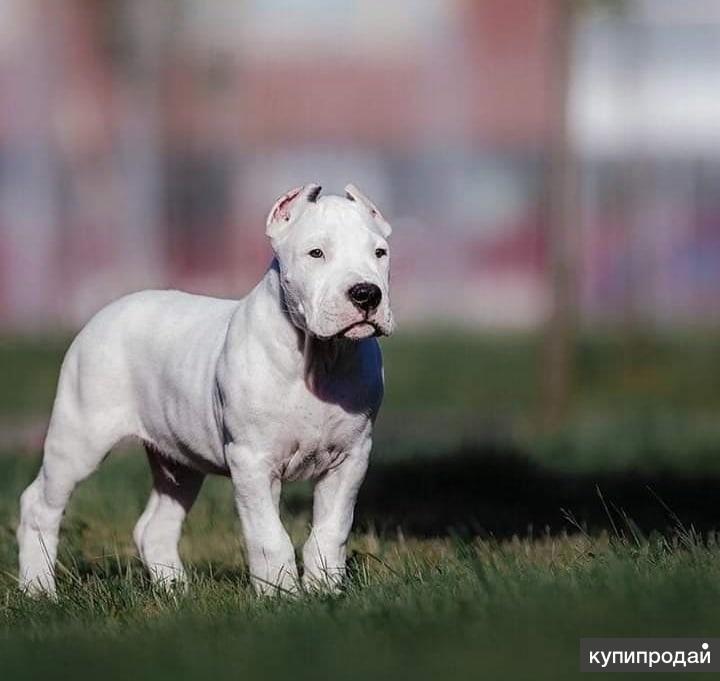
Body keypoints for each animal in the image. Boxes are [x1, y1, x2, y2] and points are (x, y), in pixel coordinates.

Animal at [18, 183, 394, 592]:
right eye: (316, 253)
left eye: (380, 253)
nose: (366, 294)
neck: (318, 357)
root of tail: (106, 311)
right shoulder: (252, 461)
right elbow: (269, 538)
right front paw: (282, 594)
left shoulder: (350, 458)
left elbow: (330, 532)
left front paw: (323, 590)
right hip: (78, 439)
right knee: (39, 506)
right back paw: (38, 588)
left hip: (178, 460)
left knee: (155, 527)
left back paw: (174, 591)